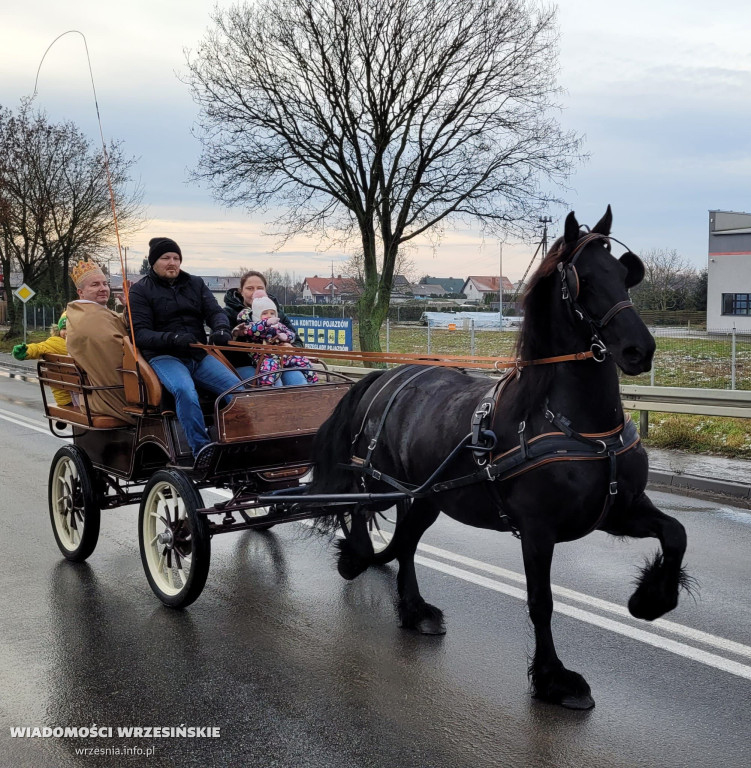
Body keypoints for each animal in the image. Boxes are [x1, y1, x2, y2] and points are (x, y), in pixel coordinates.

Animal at [308, 208, 692, 708]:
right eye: (584, 279)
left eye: (626, 274)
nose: (639, 350)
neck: (575, 425)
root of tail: (387, 376)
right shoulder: (538, 530)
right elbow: (541, 602)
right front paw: (553, 678)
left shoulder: (619, 510)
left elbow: (676, 533)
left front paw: (652, 600)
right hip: (379, 480)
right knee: (357, 507)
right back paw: (357, 559)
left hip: (426, 497)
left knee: (407, 543)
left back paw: (414, 610)